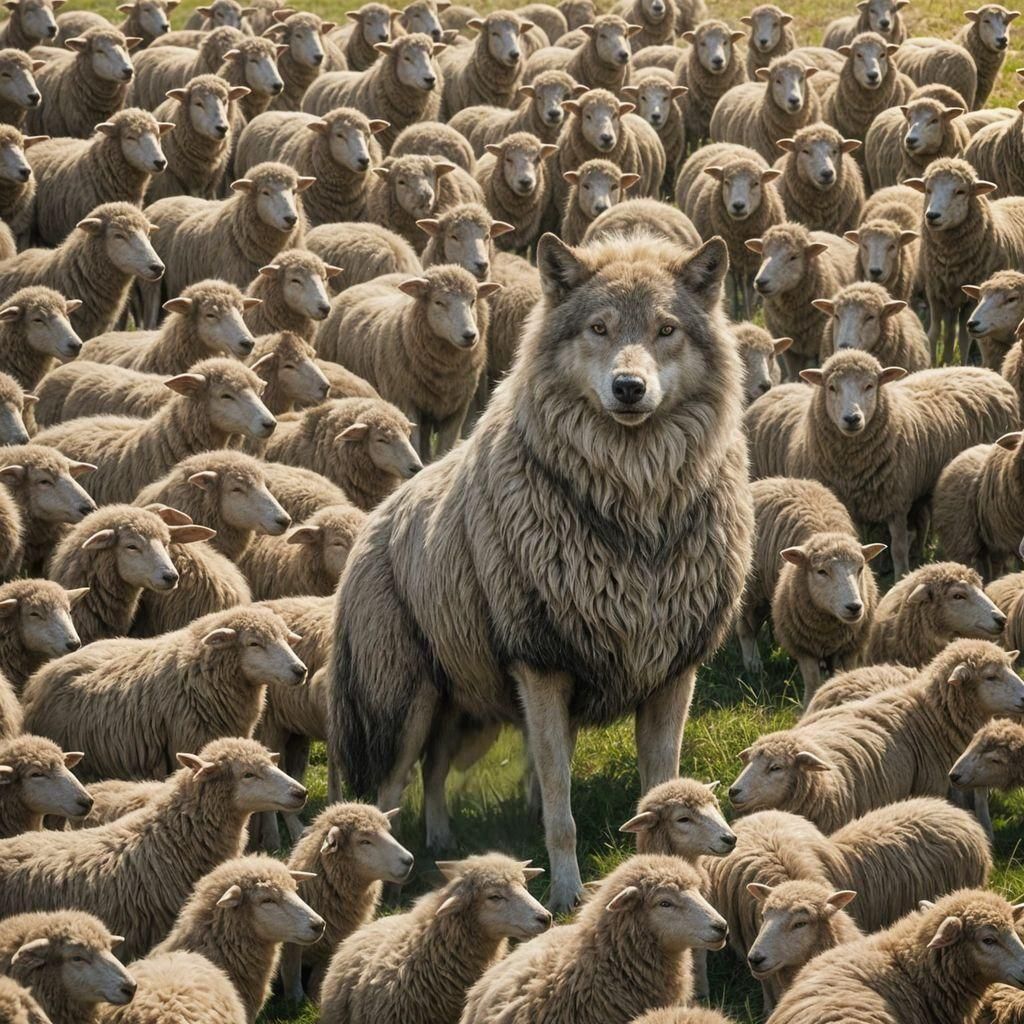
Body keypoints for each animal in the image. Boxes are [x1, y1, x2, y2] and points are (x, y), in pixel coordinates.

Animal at [280, 802, 414, 1003]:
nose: (409, 860)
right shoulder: (291, 943)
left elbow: (319, 979)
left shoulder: (332, 947)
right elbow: (291, 972)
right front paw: (296, 999)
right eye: (364, 841)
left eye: (388, 831)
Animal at [316, 266, 496, 461]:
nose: (470, 335)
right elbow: (413, 444)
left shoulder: (458, 409)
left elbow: (444, 448)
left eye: (473, 300)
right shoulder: (405, 401)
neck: (445, 371)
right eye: (438, 302)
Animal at [676, 142, 785, 317]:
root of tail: (727, 143)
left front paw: (749, 314)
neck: (740, 237)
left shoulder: (754, 262)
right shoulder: (730, 263)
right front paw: (733, 313)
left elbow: (749, 291)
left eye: (755, 183)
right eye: (726, 182)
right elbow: (731, 290)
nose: (738, 205)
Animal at [738, 476, 883, 701]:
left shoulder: (849, 648)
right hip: (752, 592)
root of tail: (771, 479)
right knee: (746, 628)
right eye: (821, 571)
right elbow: (813, 682)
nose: (854, 607)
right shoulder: (804, 647)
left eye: (860, 568)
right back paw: (753, 665)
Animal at [907, 158, 1024, 365]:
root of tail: (1017, 197)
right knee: (949, 332)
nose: (932, 216)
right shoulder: (935, 292)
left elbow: (964, 337)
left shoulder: (971, 299)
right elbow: (934, 333)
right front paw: (935, 365)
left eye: (960, 191)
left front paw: (961, 365)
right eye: (928, 190)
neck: (949, 257)